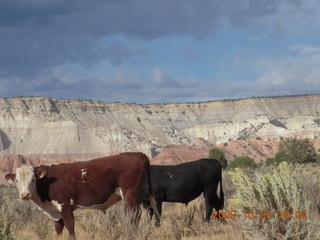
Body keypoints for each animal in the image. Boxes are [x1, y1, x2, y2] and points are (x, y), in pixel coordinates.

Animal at [5, 153, 158, 239]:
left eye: (33, 180)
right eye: (17, 180)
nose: (25, 194)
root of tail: (137, 154)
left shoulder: (65, 203)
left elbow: (70, 225)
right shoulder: (56, 210)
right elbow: (58, 228)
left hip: (129, 194)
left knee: (132, 216)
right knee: (136, 215)